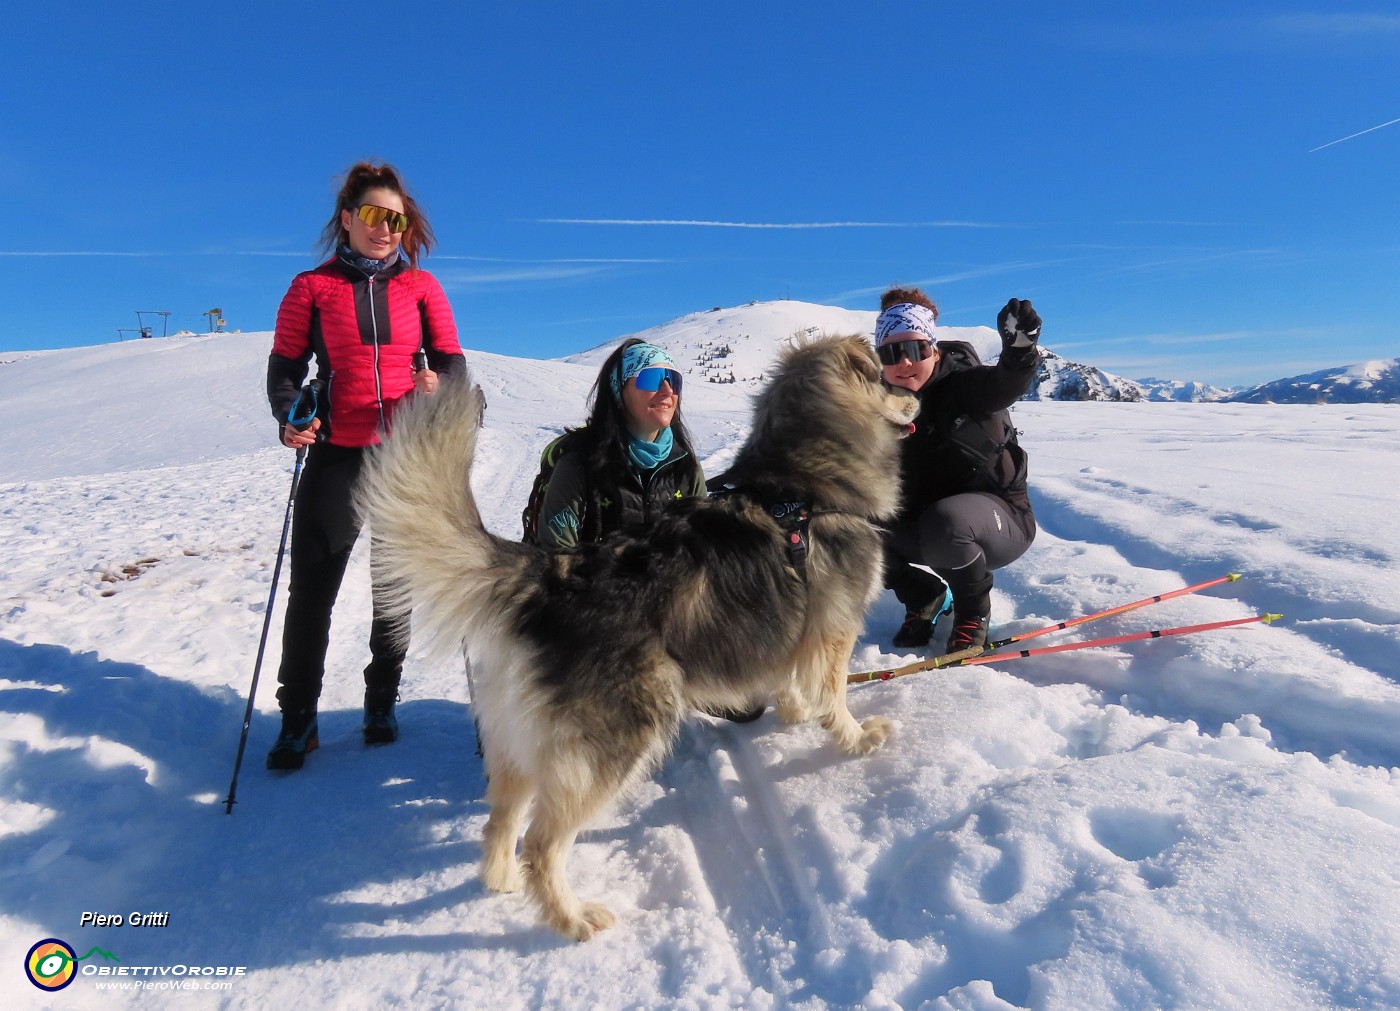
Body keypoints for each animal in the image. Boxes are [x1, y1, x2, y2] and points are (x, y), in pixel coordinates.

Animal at [355, 333, 918, 935]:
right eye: (886, 377)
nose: (916, 396)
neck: (800, 486)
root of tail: (551, 574)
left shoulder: (792, 630)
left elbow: (791, 680)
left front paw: (792, 713)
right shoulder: (833, 629)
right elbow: (833, 696)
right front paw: (856, 739)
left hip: (516, 744)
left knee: (501, 819)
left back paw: (500, 882)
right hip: (621, 737)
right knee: (542, 843)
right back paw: (571, 918)